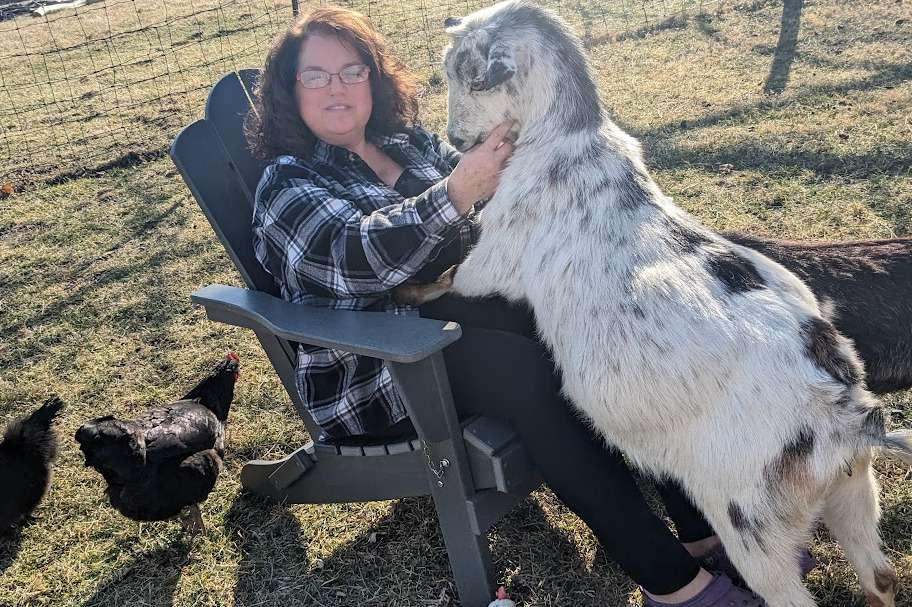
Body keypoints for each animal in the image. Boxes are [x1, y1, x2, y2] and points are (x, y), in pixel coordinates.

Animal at [400, 2, 912, 604]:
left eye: (466, 75)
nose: (456, 140)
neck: (566, 143)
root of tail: (845, 417)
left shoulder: (493, 260)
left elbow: (449, 279)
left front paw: (403, 292)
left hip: (751, 522)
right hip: (853, 492)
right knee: (879, 576)